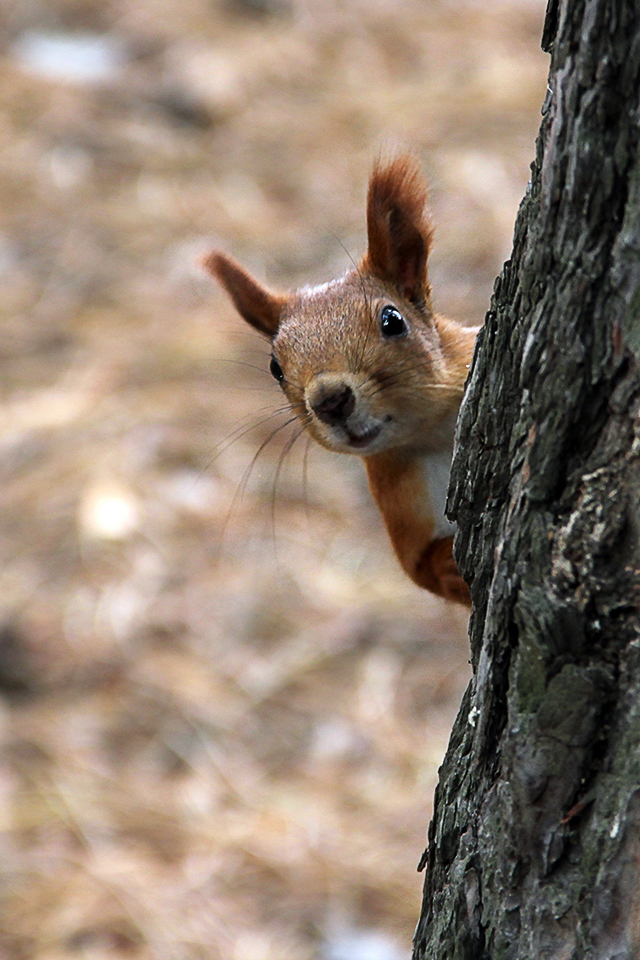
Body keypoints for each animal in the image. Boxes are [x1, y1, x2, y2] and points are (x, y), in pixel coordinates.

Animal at [202, 154, 478, 604]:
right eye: (275, 367)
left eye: (392, 320)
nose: (330, 400)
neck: (432, 436)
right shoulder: (400, 501)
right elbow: (420, 570)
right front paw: (449, 564)